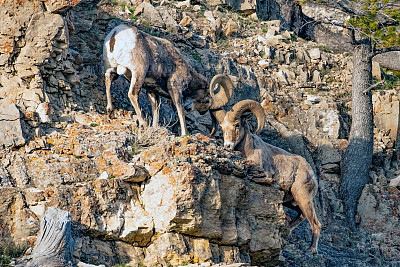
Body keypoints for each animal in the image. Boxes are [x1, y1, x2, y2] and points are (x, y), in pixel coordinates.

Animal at [103, 24, 233, 135]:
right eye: (206, 100)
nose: (190, 108)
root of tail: (116, 34)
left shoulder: (152, 91)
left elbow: (156, 110)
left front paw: (155, 127)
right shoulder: (175, 89)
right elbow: (180, 112)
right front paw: (184, 134)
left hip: (112, 68)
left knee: (108, 79)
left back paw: (110, 111)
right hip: (138, 73)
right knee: (132, 94)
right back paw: (143, 123)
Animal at [212, 100, 322, 253]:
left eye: (237, 125)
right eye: (222, 127)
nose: (227, 146)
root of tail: (311, 173)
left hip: (303, 198)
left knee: (315, 223)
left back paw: (312, 249)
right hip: (292, 201)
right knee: (301, 216)